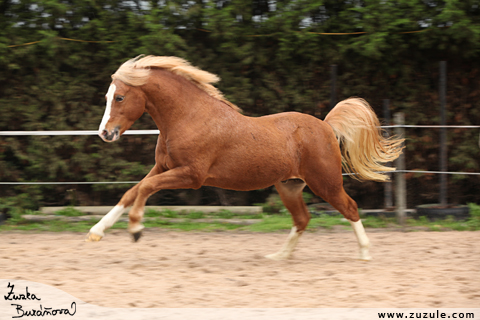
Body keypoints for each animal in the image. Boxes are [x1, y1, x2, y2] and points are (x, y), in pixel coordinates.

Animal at [84, 55, 404, 260]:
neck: (188, 118)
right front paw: (96, 232)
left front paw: (136, 229)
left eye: (120, 97)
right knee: (302, 218)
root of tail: (326, 125)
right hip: (289, 186)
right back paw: (278, 256)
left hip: (326, 183)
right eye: (107, 97)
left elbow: (145, 190)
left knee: (350, 208)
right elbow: (132, 192)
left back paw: (365, 254)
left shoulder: (191, 175)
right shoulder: (162, 167)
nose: (105, 133)